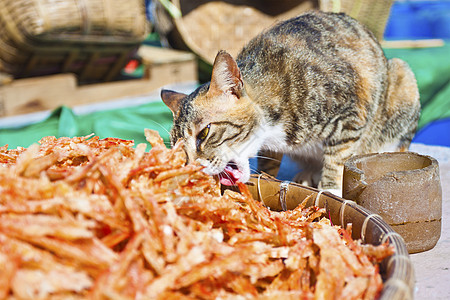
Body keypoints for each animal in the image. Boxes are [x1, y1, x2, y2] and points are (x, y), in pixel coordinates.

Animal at [160, 9, 420, 195]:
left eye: (204, 133)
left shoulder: (350, 114)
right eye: (179, 149)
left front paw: (331, 189)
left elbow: (337, 160)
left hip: (402, 76)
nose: (192, 167)